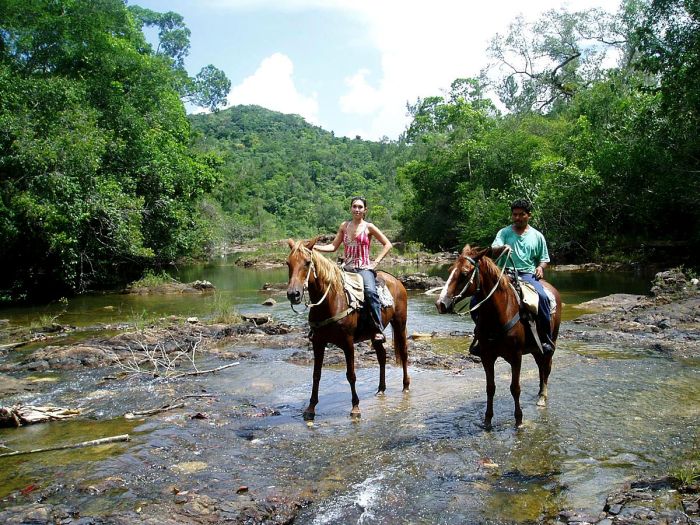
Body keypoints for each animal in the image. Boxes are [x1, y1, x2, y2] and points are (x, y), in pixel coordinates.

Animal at [286, 239, 410, 420]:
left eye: (307, 262)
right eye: (288, 263)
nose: (293, 294)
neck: (329, 302)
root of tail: (396, 280)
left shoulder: (348, 343)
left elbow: (351, 375)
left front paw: (355, 407)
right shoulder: (318, 342)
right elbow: (316, 375)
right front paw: (310, 408)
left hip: (400, 323)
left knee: (404, 353)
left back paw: (406, 386)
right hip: (374, 334)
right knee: (382, 356)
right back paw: (381, 389)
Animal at [434, 245, 560, 426]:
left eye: (464, 273)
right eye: (450, 270)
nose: (441, 304)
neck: (499, 313)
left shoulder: (516, 356)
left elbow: (515, 388)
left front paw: (519, 420)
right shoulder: (487, 356)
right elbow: (490, 388)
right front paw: (487, 419)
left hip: (549, 343)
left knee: (547, 367)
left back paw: (542, 397)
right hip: (536, 348)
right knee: (540, 367)